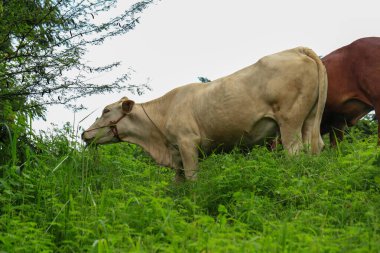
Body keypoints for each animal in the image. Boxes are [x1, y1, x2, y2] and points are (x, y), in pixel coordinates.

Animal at [82, 47, 326, 182]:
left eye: (106, 110)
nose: (84, 133)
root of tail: (295, 49)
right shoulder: (176, 153)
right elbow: (177, 185)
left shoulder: (188, 143)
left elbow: (192, 180)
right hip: (309, 121)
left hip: (289, 122)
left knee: (295, 154)